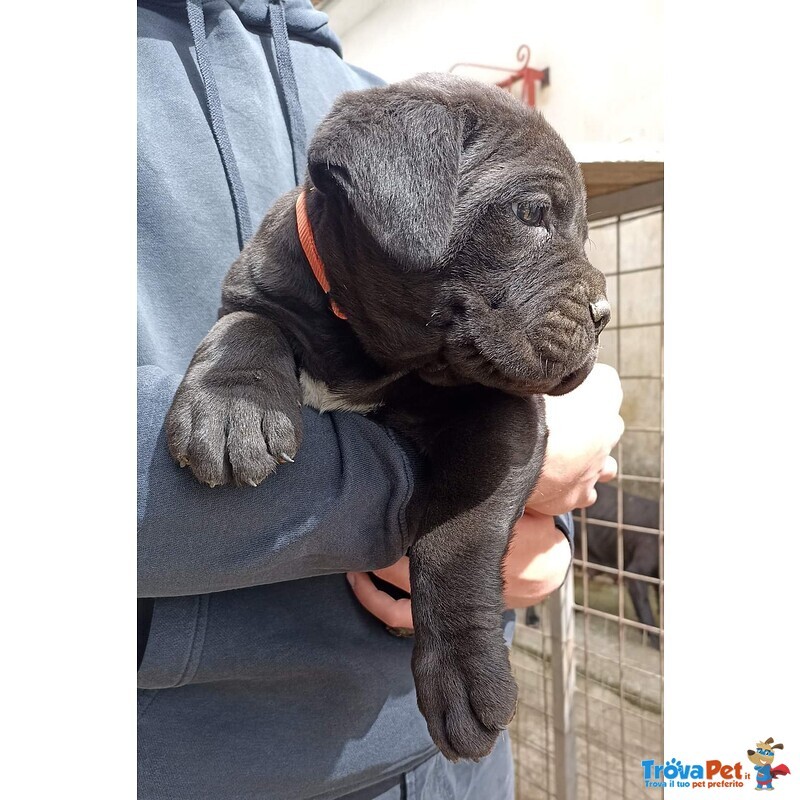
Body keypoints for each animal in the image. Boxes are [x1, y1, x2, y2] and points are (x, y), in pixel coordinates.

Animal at [166, 72, 608, 760]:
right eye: (533, 213)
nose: (604, 314)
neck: (368, 350)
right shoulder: (262, 291)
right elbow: (245, 325)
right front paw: (232, 407)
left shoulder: (504, 416)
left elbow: (456, 538)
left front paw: (463, 673)